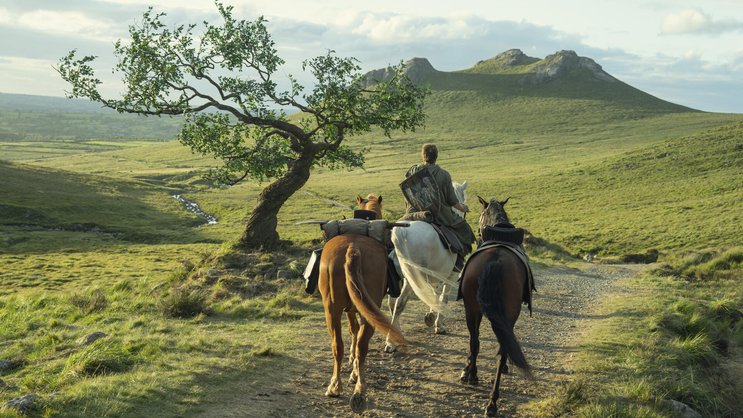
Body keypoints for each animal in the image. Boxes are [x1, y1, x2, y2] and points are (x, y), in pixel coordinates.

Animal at [318, 194, 406, 414]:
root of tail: (353, 247)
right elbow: (355, 332)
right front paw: (355, 370)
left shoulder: (349, 308)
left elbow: (352, 330)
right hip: (367, 310)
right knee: (361, 345)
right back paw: (359, 390)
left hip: (331, 310)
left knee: (337, 345)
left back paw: (335, 386)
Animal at [384, 181, 468, 353]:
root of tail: (402, 231)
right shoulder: (451, 275)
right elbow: (443, 298)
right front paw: (438, 324)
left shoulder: (434, 276)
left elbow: (434, 295)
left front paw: (431, 316)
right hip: (411, 278)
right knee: (400, 303)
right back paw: (390, 342)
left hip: (399, 278)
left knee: (392, 302)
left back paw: (396, 333)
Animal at [459, 196, 532, 417]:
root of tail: (495, 261)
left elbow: (474, 343)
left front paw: (467, 370)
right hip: (502, 314)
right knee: (500, 350)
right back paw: (492, 401)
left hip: (472, 309)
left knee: (476, 342)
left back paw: (478, 382)